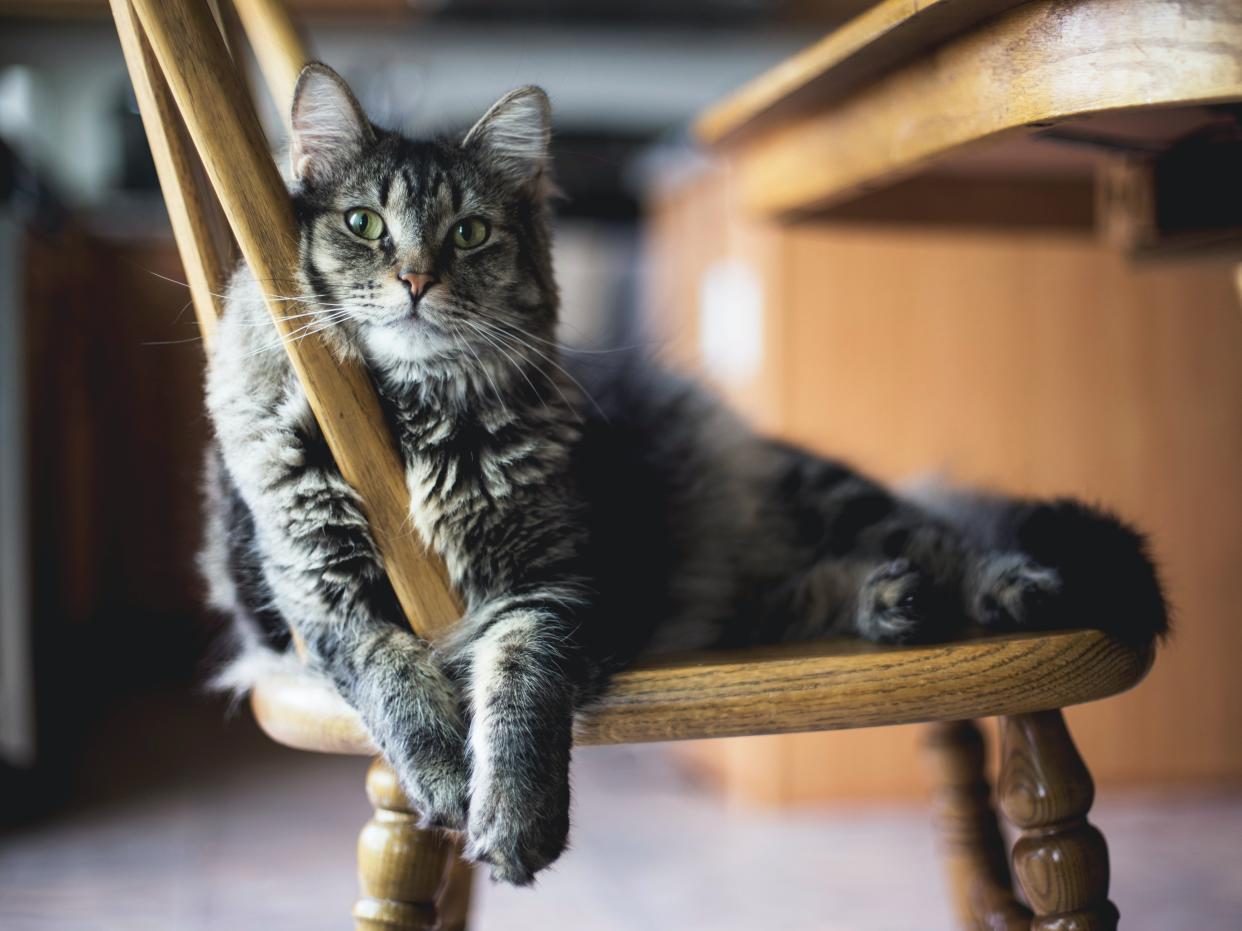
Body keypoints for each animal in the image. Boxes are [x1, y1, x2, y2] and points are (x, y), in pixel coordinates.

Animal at [198, 62, 1167, 883]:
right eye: (363, 222)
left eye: (469, 233)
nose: (414, 280)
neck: (410, 417)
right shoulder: (317, 593)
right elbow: (391, 676)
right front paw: (442, 776)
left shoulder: (551, 588)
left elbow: (518, 696)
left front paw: (512, 817)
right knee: (813, 585)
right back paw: (890, 602)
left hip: (828, 501)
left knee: (942, 536)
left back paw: (1003, 587)